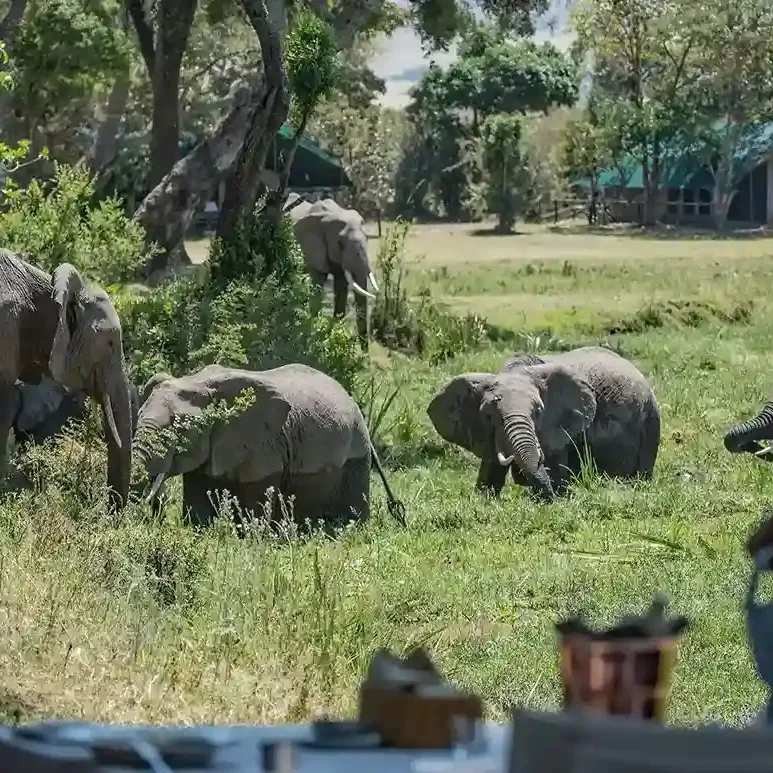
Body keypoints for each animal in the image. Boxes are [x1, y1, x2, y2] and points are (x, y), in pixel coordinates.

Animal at [286, 197, 379, 351]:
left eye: (367, 239)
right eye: (340, 243)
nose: (365, 355)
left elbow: (341, 289)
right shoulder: (312, 250)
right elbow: (317, 286)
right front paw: (313, 338)